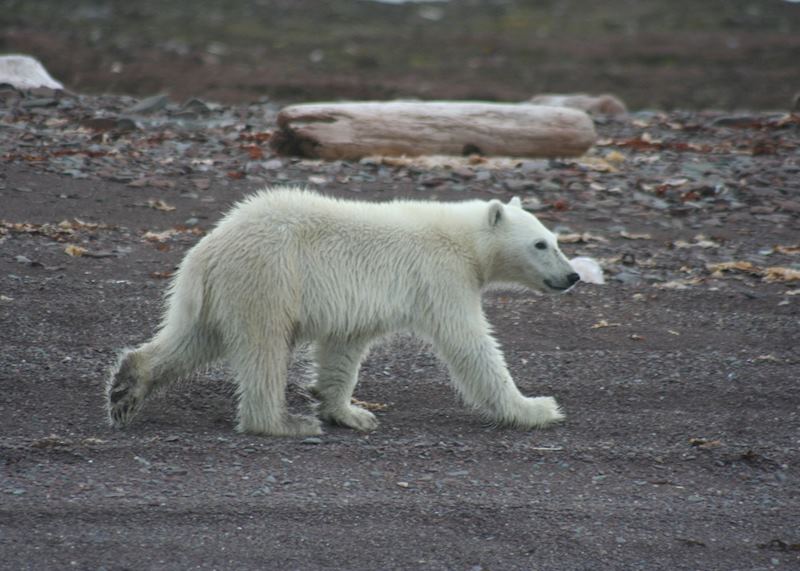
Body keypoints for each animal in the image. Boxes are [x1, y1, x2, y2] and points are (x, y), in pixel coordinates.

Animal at [107, 187, 580, 437]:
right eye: (541, 243)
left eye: (557, 240)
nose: (573, 275)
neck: (466, 241)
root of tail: (207, 248)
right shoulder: (441, 276)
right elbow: (471, 344)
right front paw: (537, 408)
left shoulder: (357, 307)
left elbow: (343, 351)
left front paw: (350, 413)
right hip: (268, 277)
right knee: (263, 348)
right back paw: (283, 423)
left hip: (222, 293)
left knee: (192, 340)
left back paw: (126, 386)